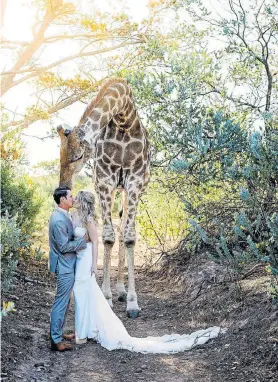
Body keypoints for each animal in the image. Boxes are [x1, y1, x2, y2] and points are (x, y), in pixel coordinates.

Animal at [57, 76, 151, 318]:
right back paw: (115, 290)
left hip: (126, 190)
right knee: (115, 228)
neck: (124, 119)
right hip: (112, 188)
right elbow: (107, 236)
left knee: (122, 226)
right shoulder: (105, 181)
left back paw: (122, 290)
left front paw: (133, 302)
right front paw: (107, 297)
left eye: (78, 156)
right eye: (59, 155)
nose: (62, 187)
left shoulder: (135, 181)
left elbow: (129, 236)